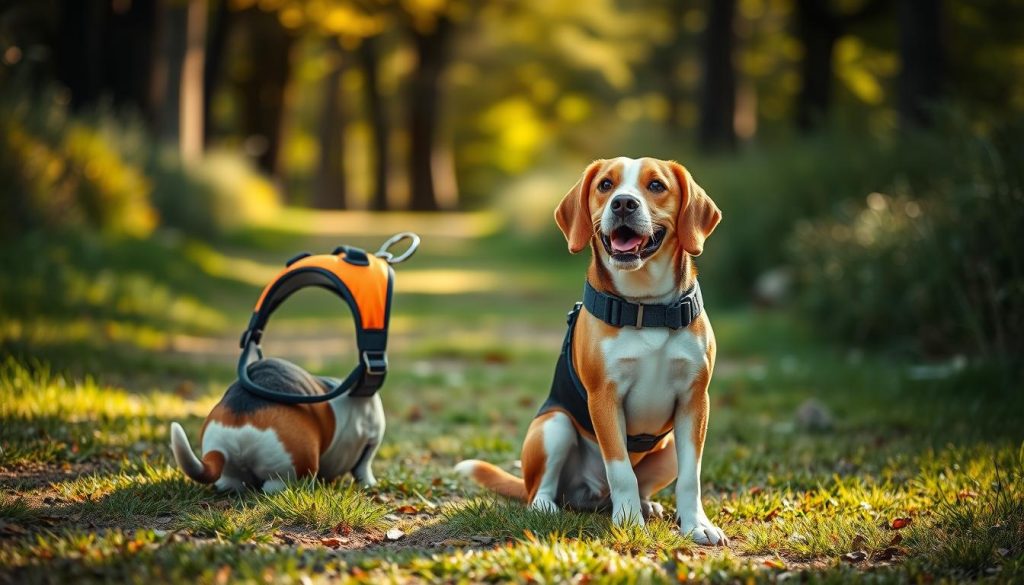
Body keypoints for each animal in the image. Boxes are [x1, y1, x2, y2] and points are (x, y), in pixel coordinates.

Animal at [456, 157, 729, 549]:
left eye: (656, 185)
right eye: (605, 185)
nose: (623, 204)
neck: (645, 308)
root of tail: (592, 496)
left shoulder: (695, 401)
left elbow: (691, 477)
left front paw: (696, 525)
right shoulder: (604, 398)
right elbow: (621, 470)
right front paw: (629, 522)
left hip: (668, 449)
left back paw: (647, 506)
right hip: (553, 426)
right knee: (543, 488)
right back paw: (549, 507)